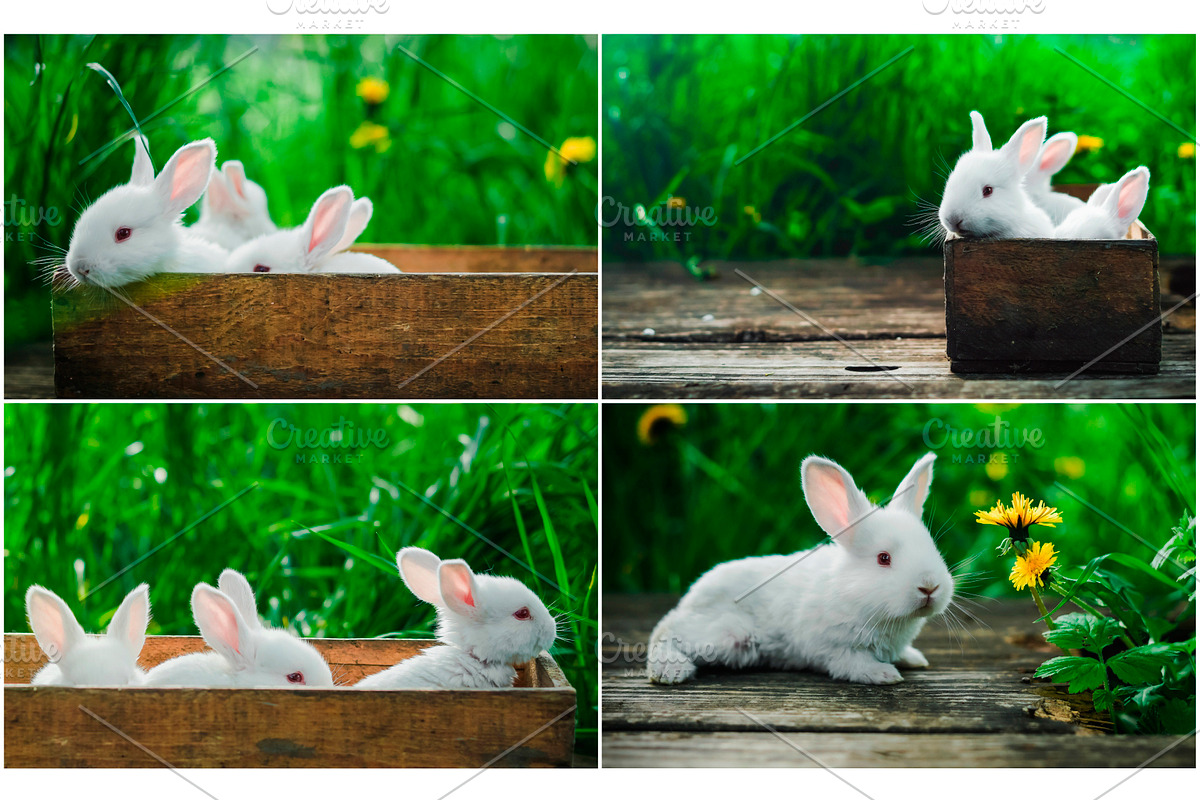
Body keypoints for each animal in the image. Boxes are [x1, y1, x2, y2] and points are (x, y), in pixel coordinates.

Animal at [647, 453, 953, 686]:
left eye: (932, 547)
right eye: (883, 558)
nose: (929, 586)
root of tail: (690, 598)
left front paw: (914, 658)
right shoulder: (830, 647)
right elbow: (852, 663)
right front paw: (884, 674)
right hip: (726, 635)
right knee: (666, 632)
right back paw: (671, 671)